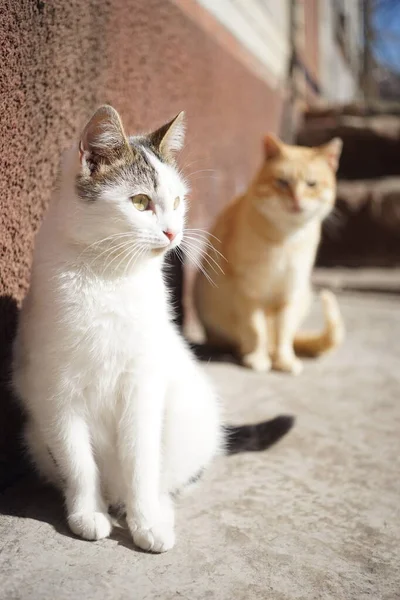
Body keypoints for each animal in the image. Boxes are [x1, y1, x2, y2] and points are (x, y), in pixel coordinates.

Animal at [13, 106, 294, 552]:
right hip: (34, 435)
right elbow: (78, 463)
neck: (109, 279)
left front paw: (146, 521)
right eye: (141, 201)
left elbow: (141, 461)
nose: (173, 232)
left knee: (166, 477)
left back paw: (154, 510)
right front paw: (86, 513)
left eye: (177, 201)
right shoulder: (56, 393)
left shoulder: (143, 386)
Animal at [194, 135, 344, 376]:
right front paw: (257, 358)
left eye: (311, 185)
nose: (296, 199)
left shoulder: (289, 293)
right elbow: (256, 329)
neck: (286, 239)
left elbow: (283, 331)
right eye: (282, 182)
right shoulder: (248, 291)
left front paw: (284, 360)